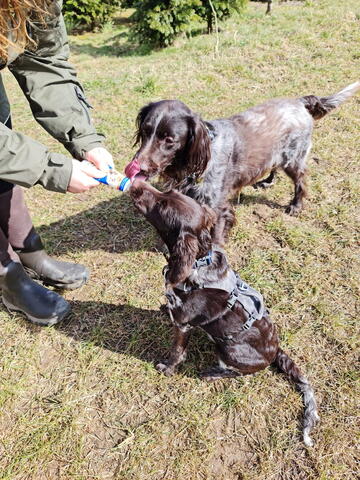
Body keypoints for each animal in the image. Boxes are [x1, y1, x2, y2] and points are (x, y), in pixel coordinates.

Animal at [125, 82, 358, 244]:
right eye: (145, 131)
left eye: (169, 140)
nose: (137, 167)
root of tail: (299, 102)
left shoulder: (217, 208)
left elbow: (216, 238)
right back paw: (267, 182)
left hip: (293, 159)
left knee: (301, 181)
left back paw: (296, 205)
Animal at [130, 180, 320, 446]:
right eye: (168, 191)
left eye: (162, 207)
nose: (136, 183)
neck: (198, 263)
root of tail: (276, 351)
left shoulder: (183, 325)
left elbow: (177, 351)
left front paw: (167, 368)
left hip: (228, 349)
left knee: (236, 373)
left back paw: (211, 374)